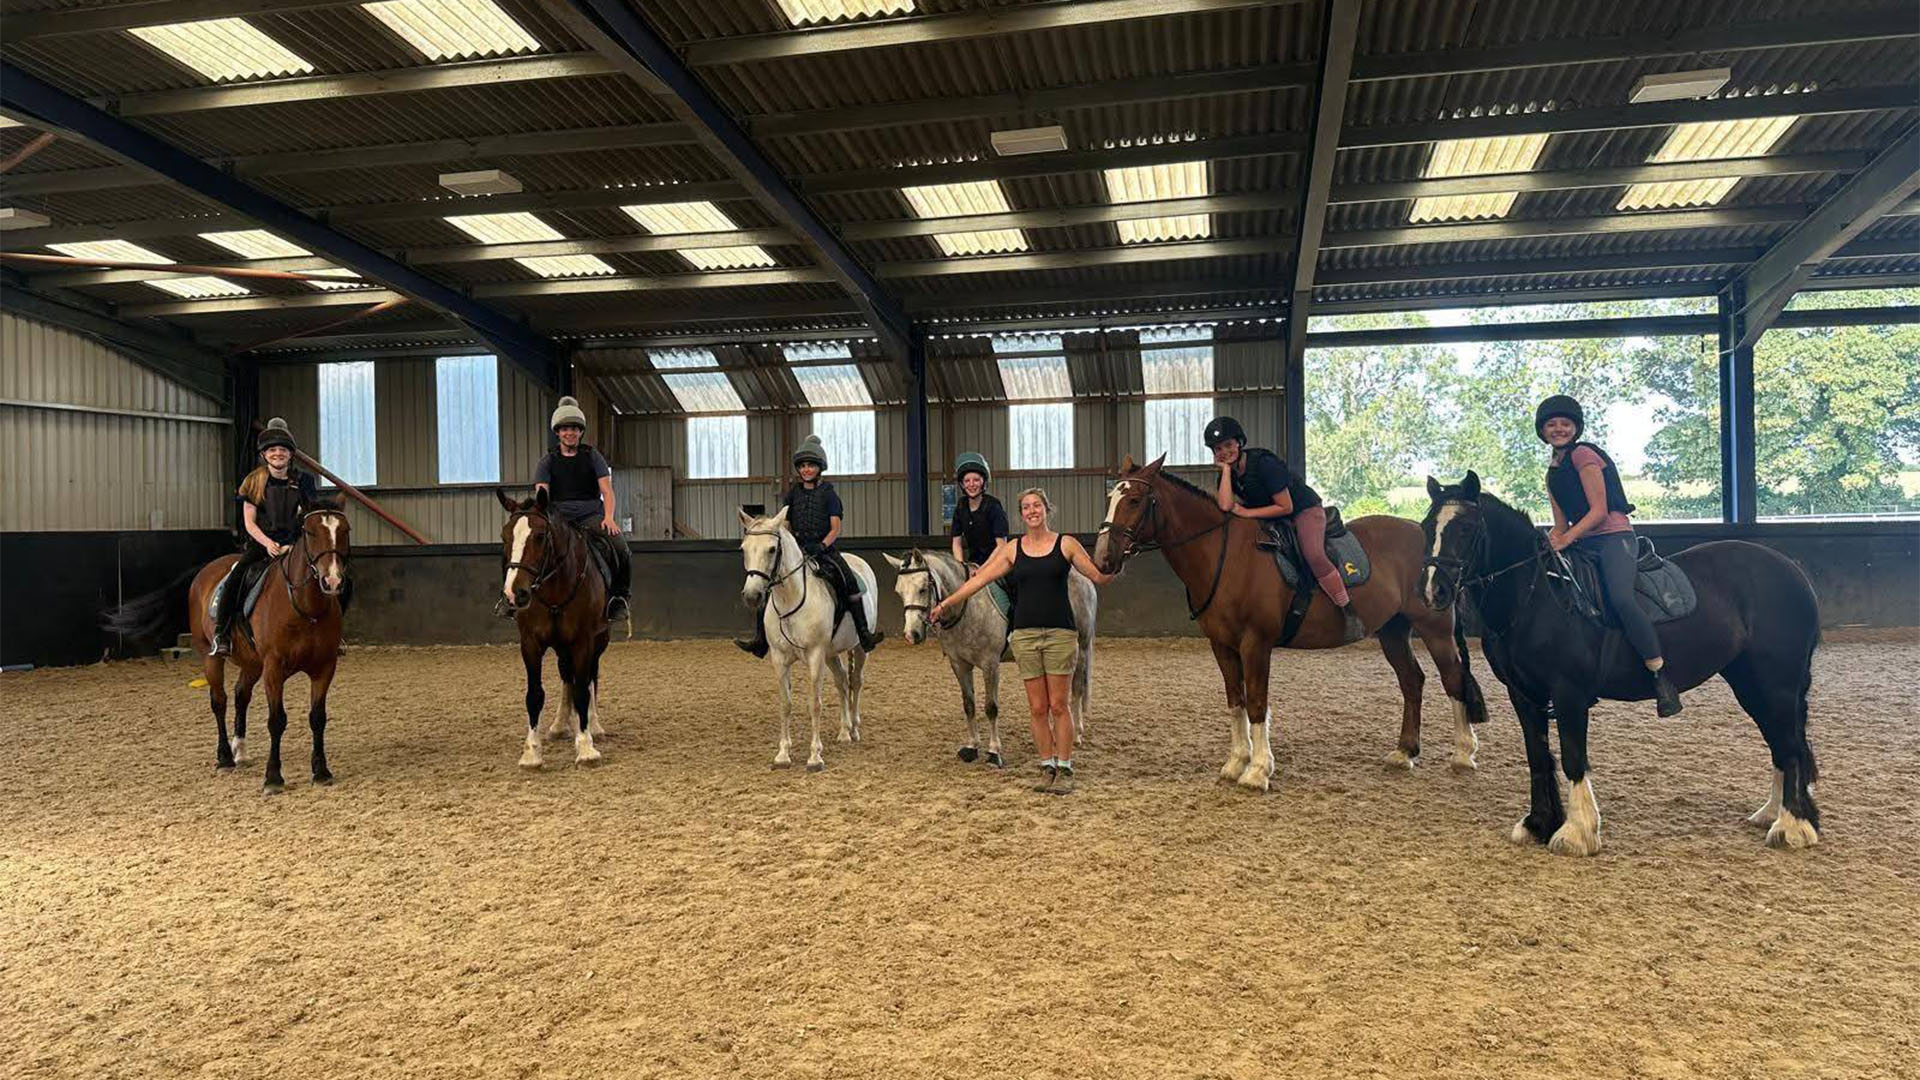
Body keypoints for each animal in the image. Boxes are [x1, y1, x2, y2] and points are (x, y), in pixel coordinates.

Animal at [186, 505, 350, 793]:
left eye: (344, 530)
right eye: (310, 532)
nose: (332, 581)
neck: (305, 607)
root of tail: (205, 572)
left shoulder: (324, 667)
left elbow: (317, 717)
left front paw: (321, 771)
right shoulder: (274, 667)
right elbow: (276, 720)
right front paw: (273, 777)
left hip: (252, 663)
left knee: (241, 695)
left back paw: (240, 751)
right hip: (210, 655)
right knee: (219, 701)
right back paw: (225, 758)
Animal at [496, 488, 609, 769]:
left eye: (539, 536)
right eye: (504, 536)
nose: (514, 594)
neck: (556, 588)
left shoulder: (583, 641)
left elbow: (582, 689)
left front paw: (586, 747)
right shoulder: (530, 643)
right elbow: (535, 695)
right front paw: (531, 753)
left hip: (599, 639)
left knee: (590, 676)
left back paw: (594, 725)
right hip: (561, 646)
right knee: (566, 675)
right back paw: (560, 725)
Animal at [738, 508, 876, 771]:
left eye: (772, 549)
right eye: (744, 548)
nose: (752, 596)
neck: (791, 598)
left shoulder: (815, 656)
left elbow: (815, 703)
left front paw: (815, 757)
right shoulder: (780, 659)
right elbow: (785, 704)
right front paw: (783, 755)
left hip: (858, 648)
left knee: (856, 680)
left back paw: (854, 727)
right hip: (831, 654)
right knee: (842, 680)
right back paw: (844, 731)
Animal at [1094, 454, 1488, 791]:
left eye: (1134, 501)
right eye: (1111, 497)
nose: (1103, 559)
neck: (1225, 555)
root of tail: (1427, 539)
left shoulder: (1256, 643)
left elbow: (1257, 703)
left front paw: (1257, 770)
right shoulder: (1222, 645)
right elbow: (1235, 702)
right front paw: (1236, 762)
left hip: (1434, 627)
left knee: (1453, 678)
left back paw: (1463, 753)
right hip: (1392, 630)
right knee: (1412, 681)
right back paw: (1405, 751)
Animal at [1420, 471, 1823, 854]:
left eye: (1466, 528)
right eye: (1427, 527)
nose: (1434, 591)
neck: (1535, 599)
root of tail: (1791, 569)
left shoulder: (1568, 692)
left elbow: (1572, 757)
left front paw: (1576, 832)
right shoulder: (1523, 694)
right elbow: (1538, 756)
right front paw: (1539, 823)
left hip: (1777, 681)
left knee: (1789, 743)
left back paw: (1791, 826)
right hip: (1748, 680)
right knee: (1779, 740)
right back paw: (1775, 813)